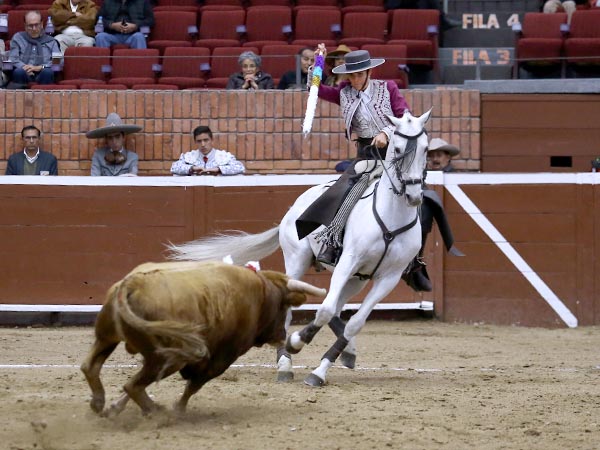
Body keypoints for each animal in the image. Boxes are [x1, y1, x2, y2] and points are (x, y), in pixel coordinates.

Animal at [82, 260, 326, 414]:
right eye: (283, 306)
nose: (282, 336)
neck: (261, 292)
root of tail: (133, 283)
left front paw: (114, 408)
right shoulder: (223, 357)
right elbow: (194, 385)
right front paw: (178, 410)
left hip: (107, 338)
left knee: (92, 367)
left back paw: (99, 403)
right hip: (170, 357)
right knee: (132, 385)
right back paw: (158, 413)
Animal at [169, 109, 432, 386]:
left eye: (426, 148)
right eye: (398, 148)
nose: (414, 196)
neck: (392, 216)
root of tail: (292, 208)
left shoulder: (388, 277)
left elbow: (352, 322)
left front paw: (320, 371)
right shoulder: (349, 259)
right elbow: (325, 310)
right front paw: (296, 343)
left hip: (357, 279)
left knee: (335, 308)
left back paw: (346, 352)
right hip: (299, 259)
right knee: (299, 307)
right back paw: (284, 363)